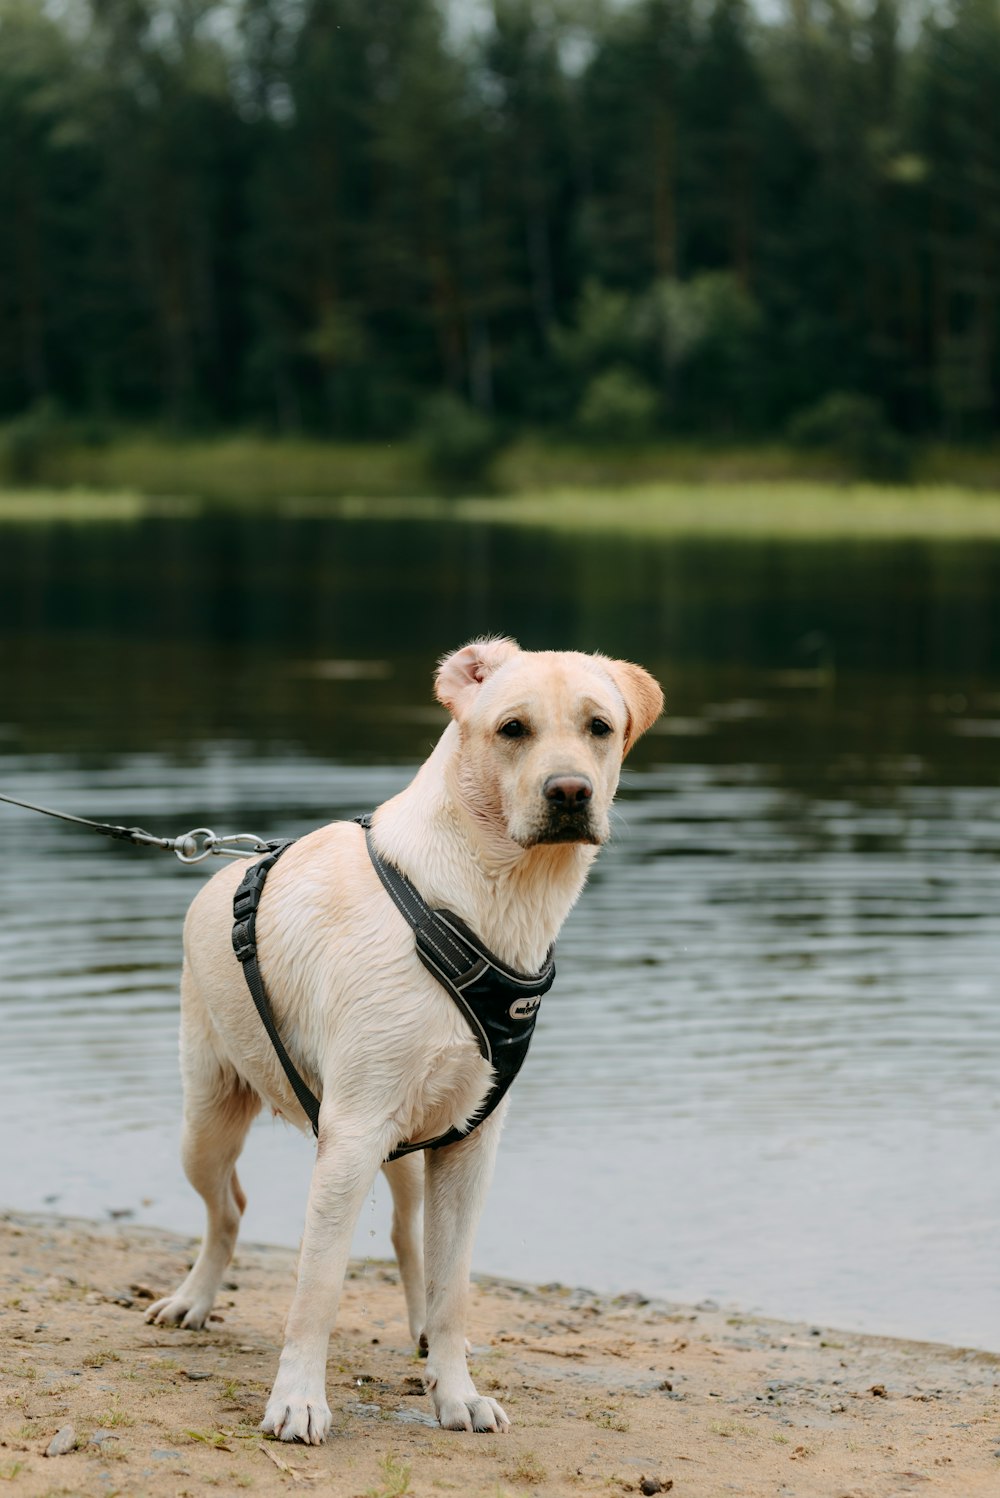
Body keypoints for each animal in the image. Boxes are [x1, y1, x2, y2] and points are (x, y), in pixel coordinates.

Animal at [146, 638, 664, 1444]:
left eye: (600, 727)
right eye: (512, 728)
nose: (571, 791)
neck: (469, 904)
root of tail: (222, 866)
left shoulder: (470, 1141)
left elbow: (453, 1285)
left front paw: (456, 1393)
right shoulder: (351, 1134)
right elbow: (318, 1287)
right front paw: (298, 1400)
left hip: (414, 1143)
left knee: (407, 1238)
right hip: (207, 1120)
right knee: (227, 1207)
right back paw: (193, 1301)